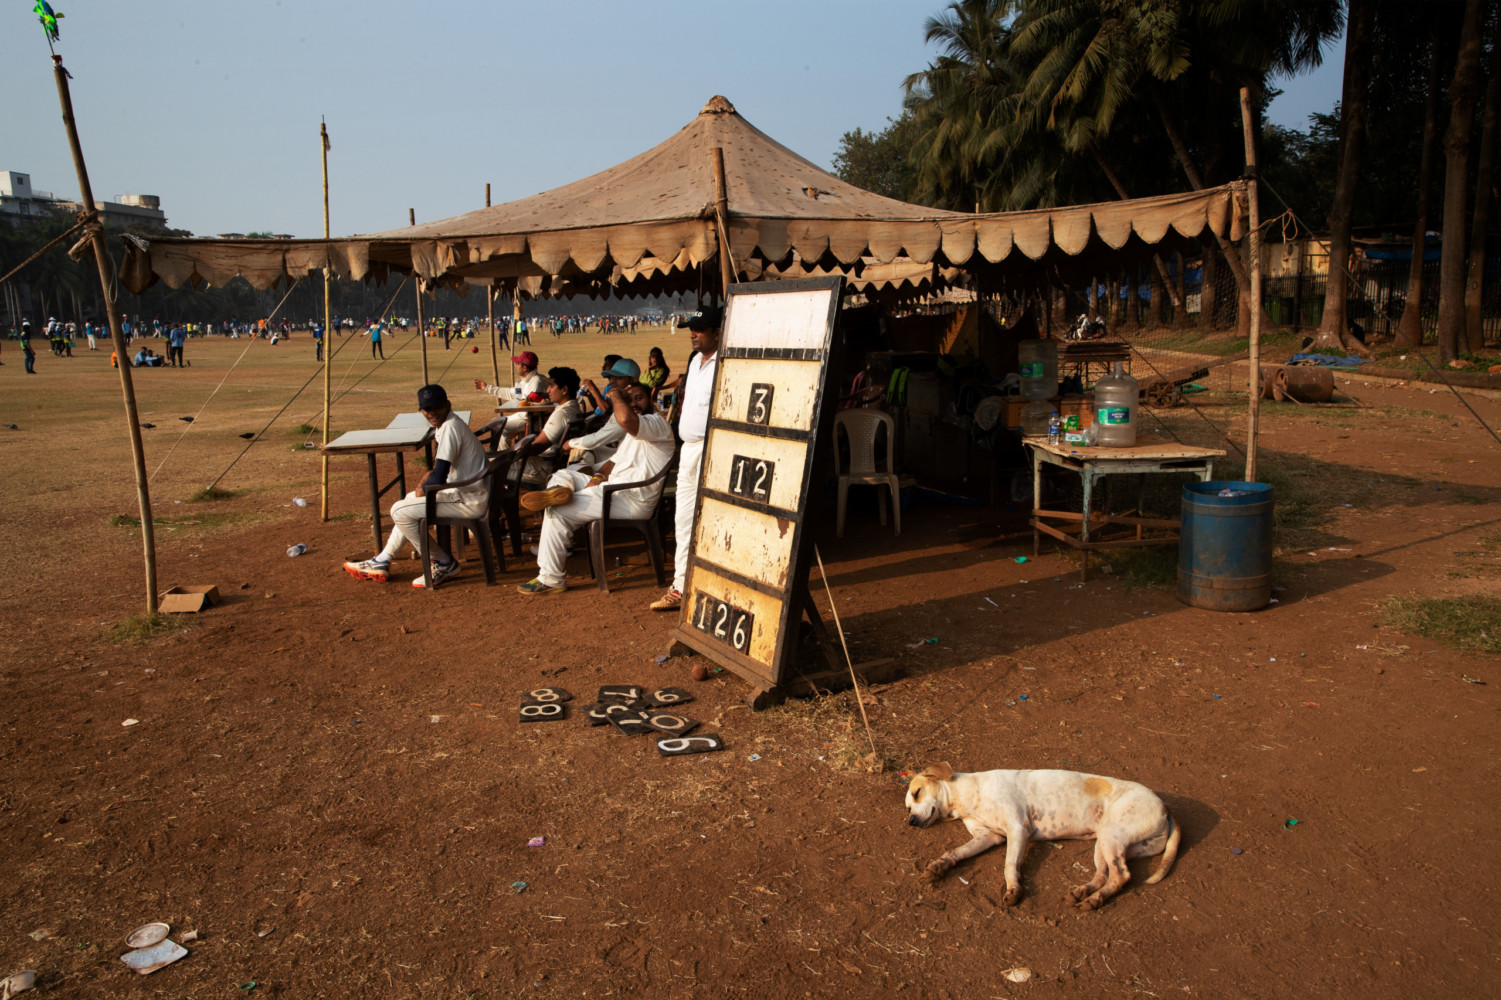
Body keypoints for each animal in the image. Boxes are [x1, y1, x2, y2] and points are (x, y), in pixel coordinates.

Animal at [905, 763, 1180, 909]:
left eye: (917, 792)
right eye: (907, 808)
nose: (911, 822)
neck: (967, 795)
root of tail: (1166, 809)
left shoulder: (1017, 829)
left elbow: (1009, 865)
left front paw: (1014, 889)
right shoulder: (988, 837)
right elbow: (956, 852)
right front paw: (940, 866)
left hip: (1112, 836)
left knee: (1122, 875)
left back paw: (1095, 900)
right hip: (1104, 843)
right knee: (1105, 875)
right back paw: (1084, 893)